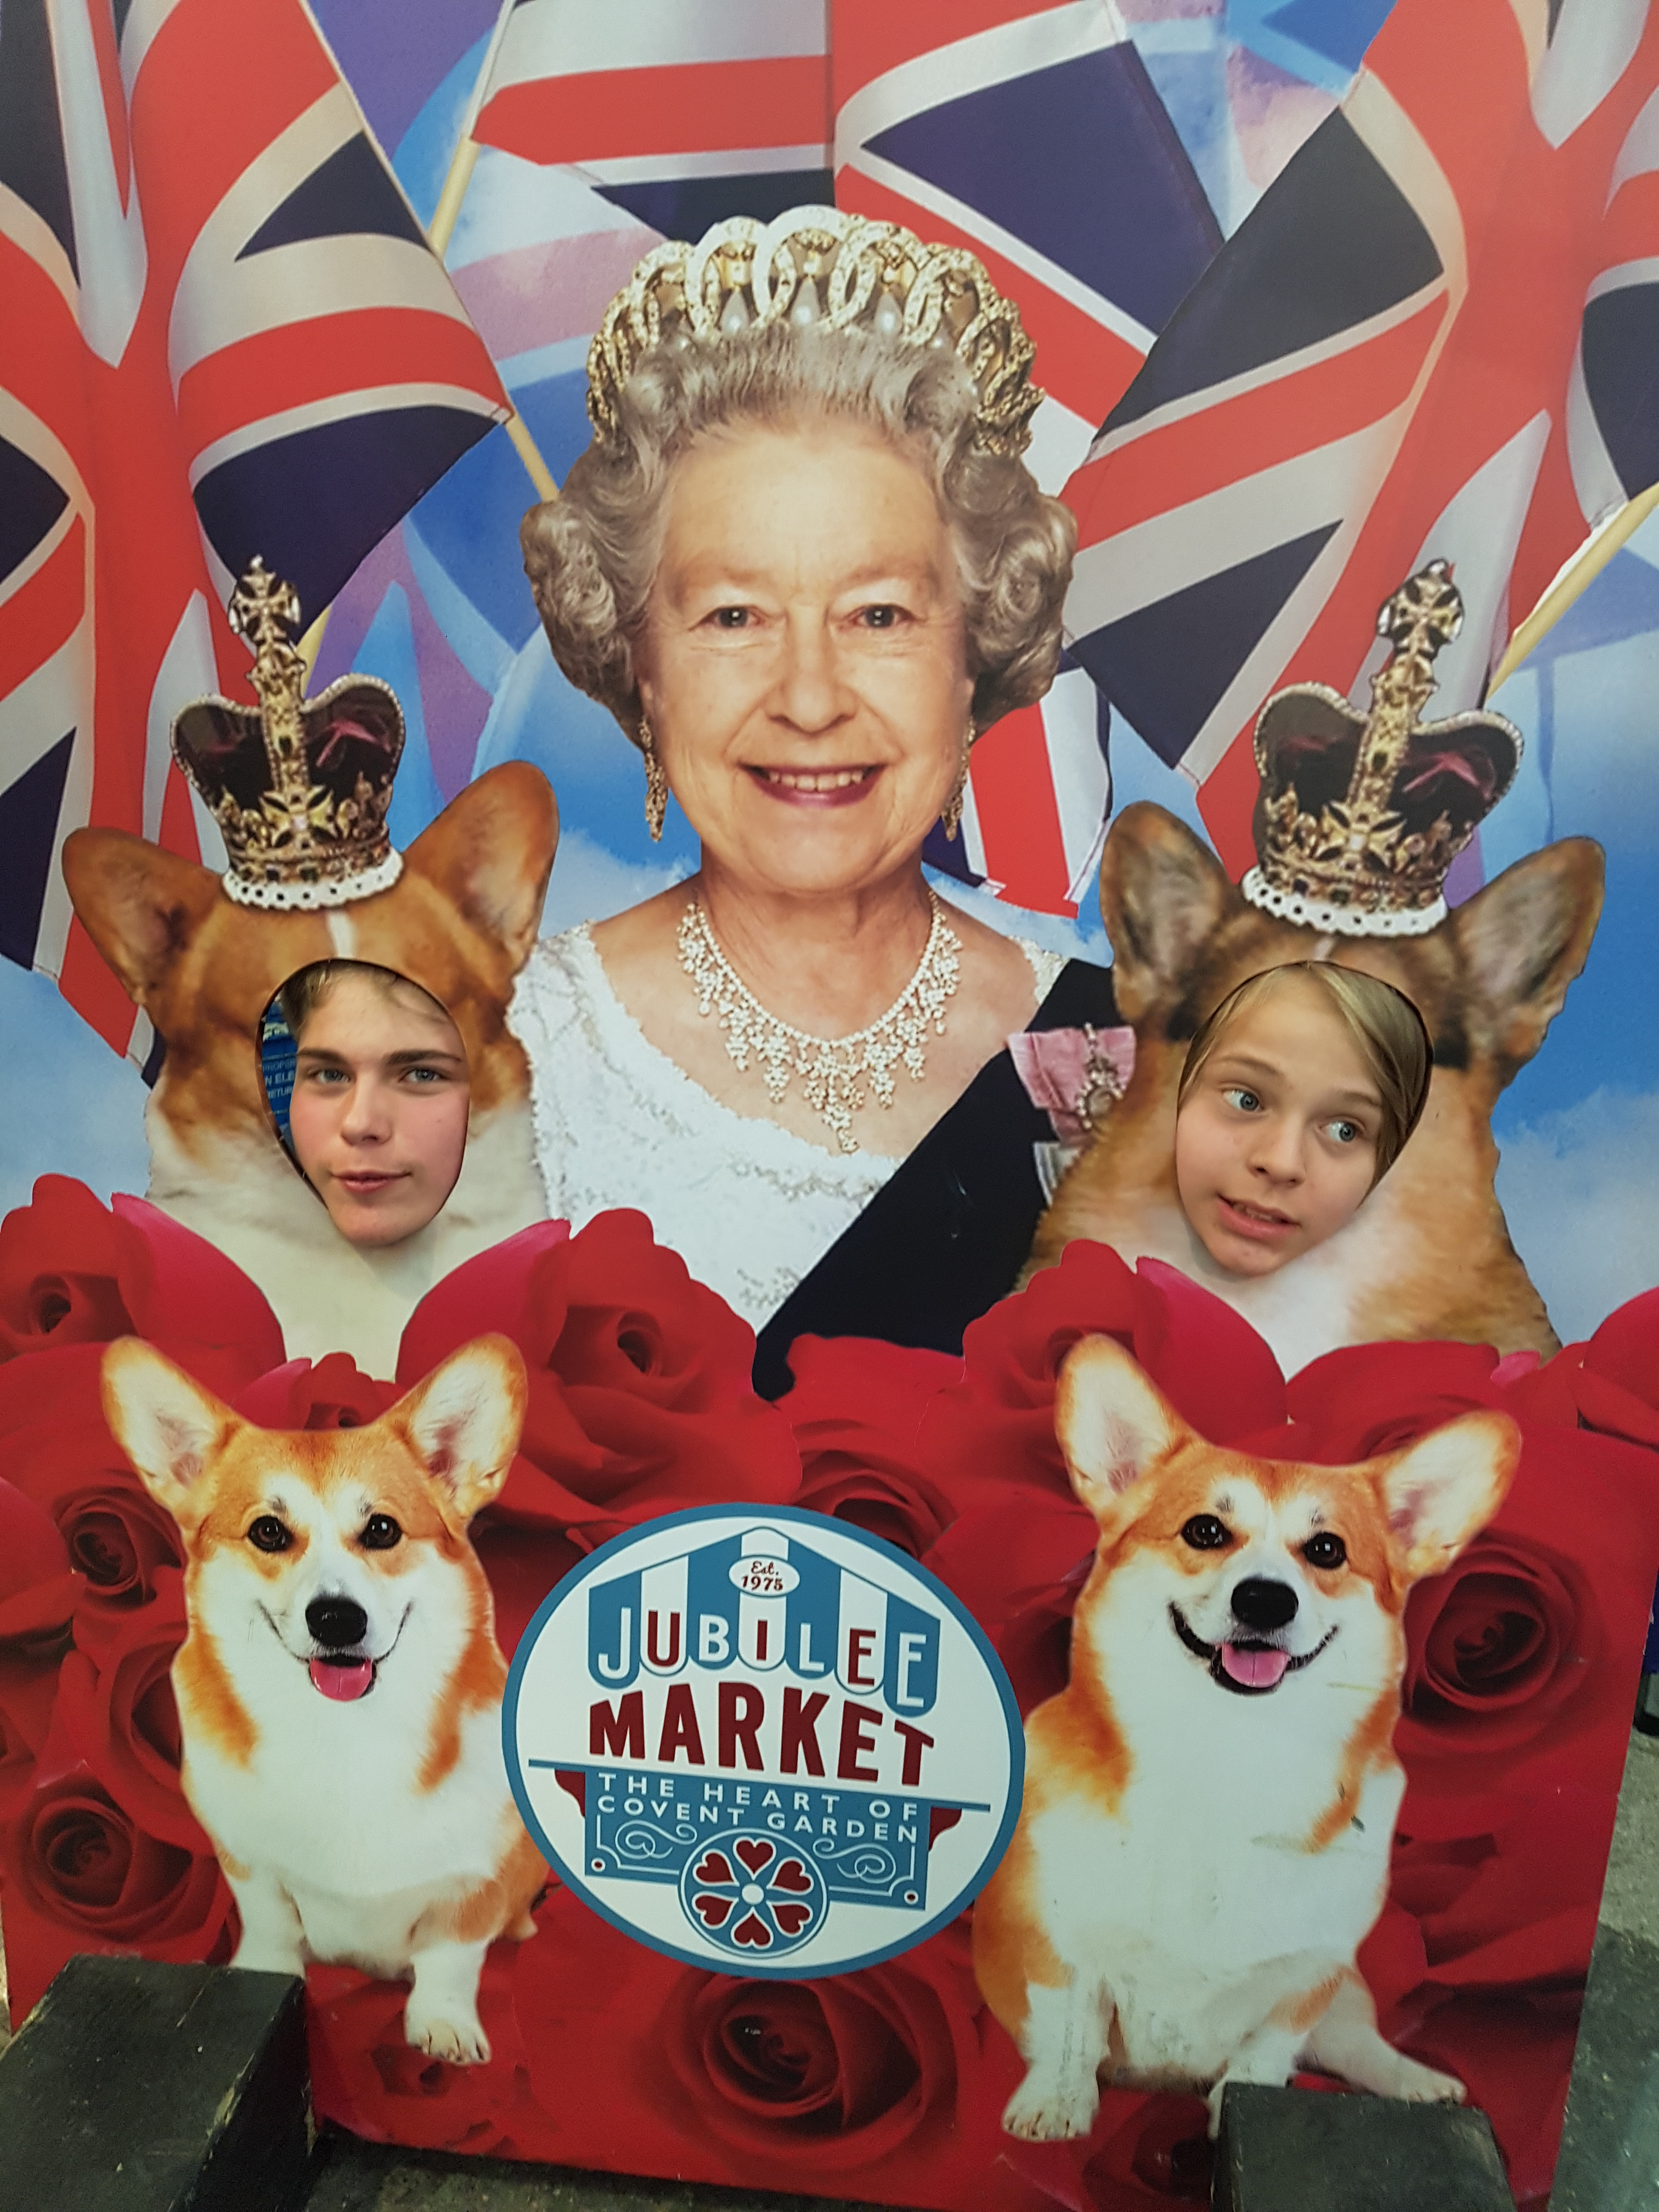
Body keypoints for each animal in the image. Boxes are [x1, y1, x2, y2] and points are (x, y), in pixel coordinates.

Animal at [102, 1329, 545, 2064]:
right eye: (268, 1532)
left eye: (383, 1530)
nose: (336, 1619)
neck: (344, 1734)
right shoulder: (247, 1864)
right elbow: (273, 1927)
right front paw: (262, 1978)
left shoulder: (480, 1875)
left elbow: (452, 1957)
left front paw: (444, 2024)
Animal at [973, 1332, 1519, 2138]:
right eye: (1205, 1530)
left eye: (1327, 1550)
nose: (1265, 1598)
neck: (1228, 1758)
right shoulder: (1061, 1942)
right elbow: (1071, 2028)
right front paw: (1056, 2106)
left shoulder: (1311, 1972)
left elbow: (1265, 2057)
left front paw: (1237, 2112)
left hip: (1349, 1994)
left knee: (1358, 2044)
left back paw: (1419, 2083)